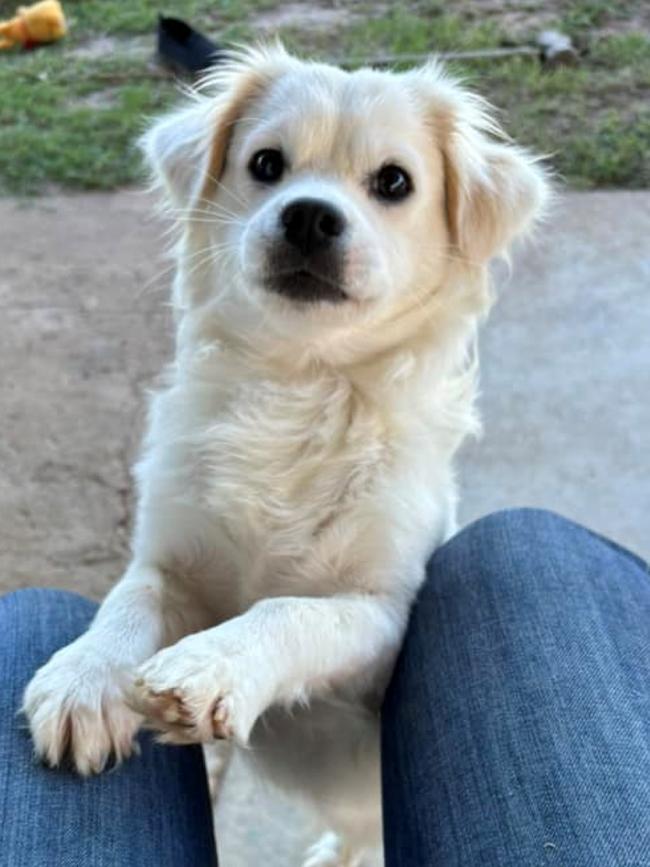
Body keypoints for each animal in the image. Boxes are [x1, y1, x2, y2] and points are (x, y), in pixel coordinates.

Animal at [22, 44, 548, 864]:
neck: (300, 386)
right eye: (266, 164)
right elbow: (128, 600)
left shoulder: (382, 618)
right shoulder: (171, 562)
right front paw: (84, 677)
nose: (307, 215)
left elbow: (290, 609)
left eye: (394, 182)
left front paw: (212, 664)